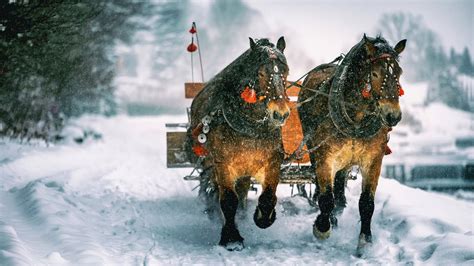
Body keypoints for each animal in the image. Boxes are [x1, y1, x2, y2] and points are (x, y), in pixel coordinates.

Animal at [187, 37, 290, 251]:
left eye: (286, 72)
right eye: (260, 73)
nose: (281, 114)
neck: (250, 127)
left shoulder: (272, 160)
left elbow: (268, 196)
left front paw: (263, 217)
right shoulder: (223, 163)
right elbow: (228, 199)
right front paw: (231, 237)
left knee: (242, 191)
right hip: (211, 164)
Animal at [298, 34, 406, 254]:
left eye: (398, 72)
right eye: (374, 73)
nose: (393, 116)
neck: (356, 118)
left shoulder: (373, 160)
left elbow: (366, 203)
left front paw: (365, 240)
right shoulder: (325, 157)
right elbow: (326, 198)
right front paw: (322, 227)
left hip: (345, 161)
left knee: (339, 189)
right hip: (315, 150)